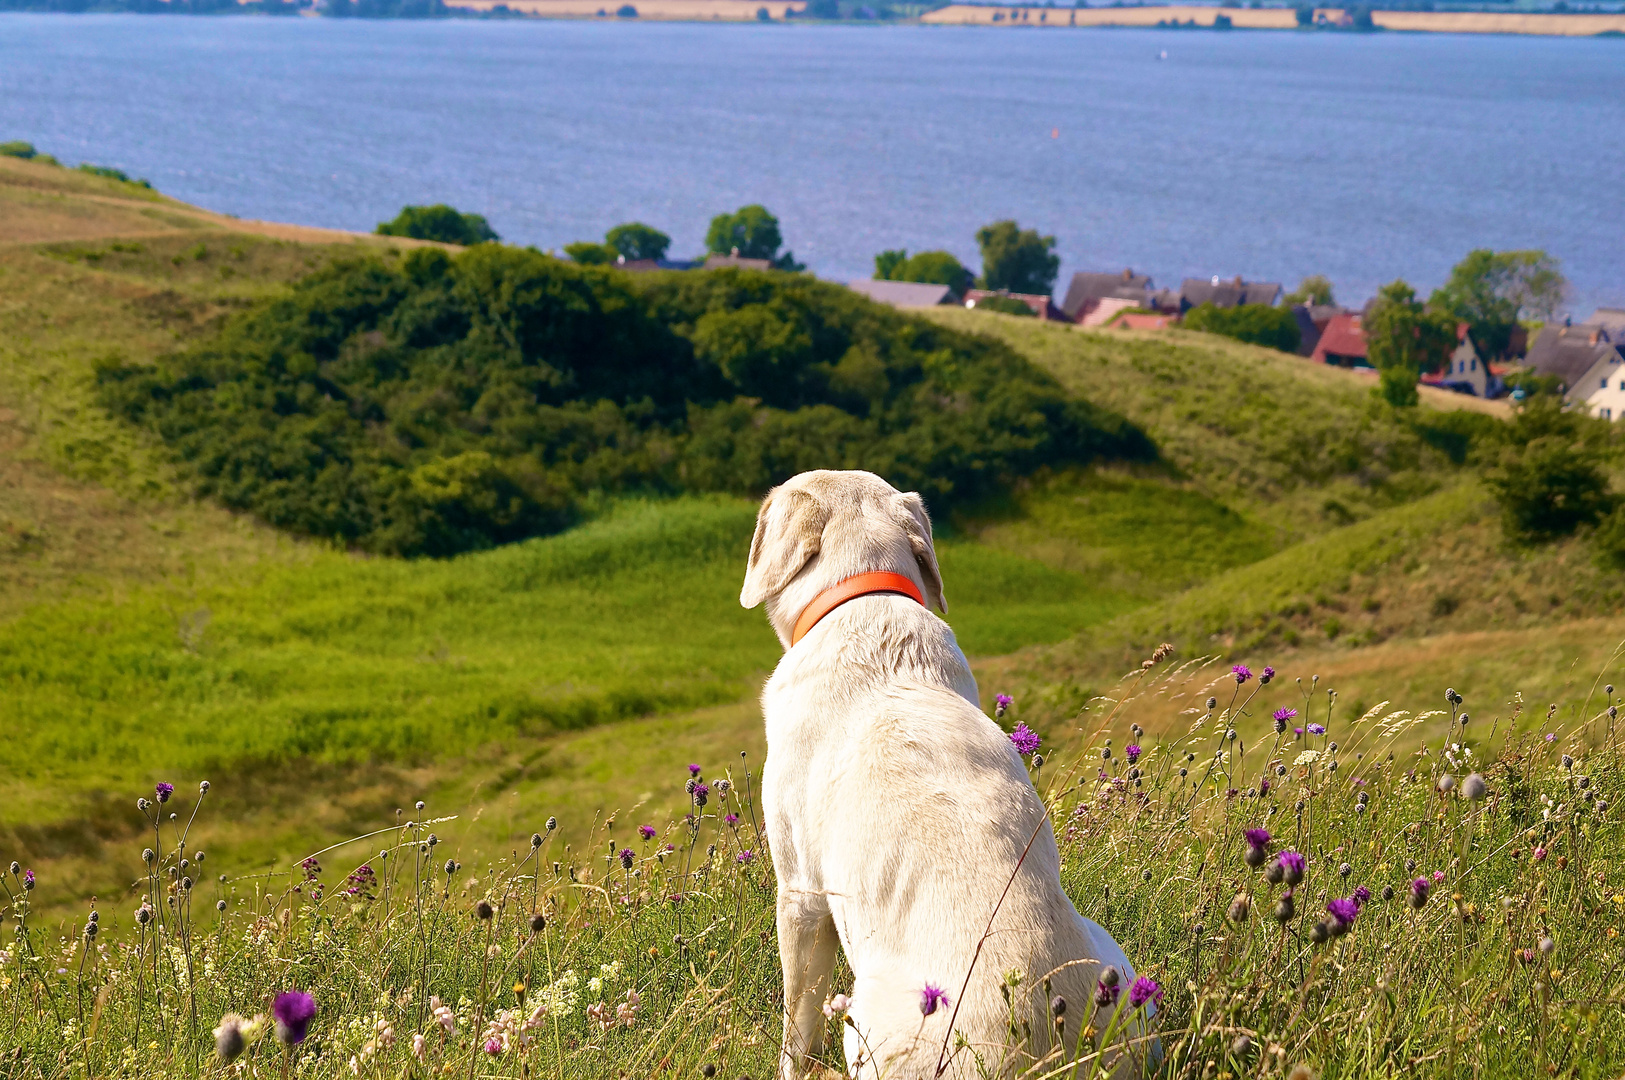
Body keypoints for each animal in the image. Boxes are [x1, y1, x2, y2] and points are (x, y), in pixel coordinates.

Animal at [744, 470, 1150, 1078]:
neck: (865, 599)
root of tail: (1047, 1051)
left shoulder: (800, 894)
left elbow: (797, 1027)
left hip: (867, 1016)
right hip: (1115, 961)